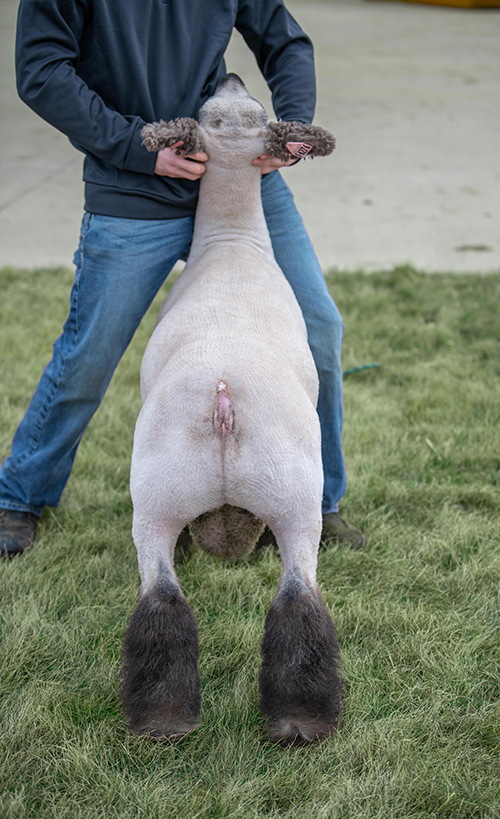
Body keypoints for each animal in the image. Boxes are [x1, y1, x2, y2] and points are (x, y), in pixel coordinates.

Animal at [121, 73, 342, 745]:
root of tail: (223, 403)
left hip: (160, 497)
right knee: (297, 597)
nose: (232, 75)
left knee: (164, 598)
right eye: (221, 106)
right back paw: (301, 719)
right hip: (293, 498)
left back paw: (168, 720)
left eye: (245, 108)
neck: (230, 245)